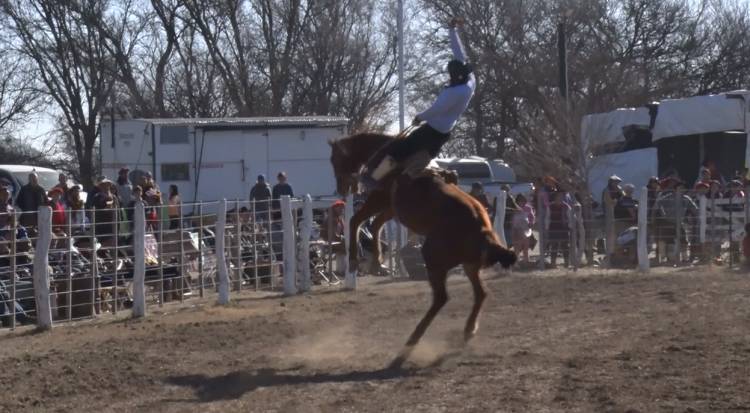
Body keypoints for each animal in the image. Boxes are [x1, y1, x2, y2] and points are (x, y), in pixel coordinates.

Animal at [332, 133, 520, 366]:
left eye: (333, 159)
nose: (340, 189)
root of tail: (483, 231)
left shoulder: (380, 199)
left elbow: (357, 221)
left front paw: (356, 261)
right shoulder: (391, 208)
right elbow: (375, 225)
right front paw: (378, 262)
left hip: (433, 258)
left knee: (441, 298)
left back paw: (408, 347)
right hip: (469, 264)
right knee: (480, 293)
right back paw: (467, 331)